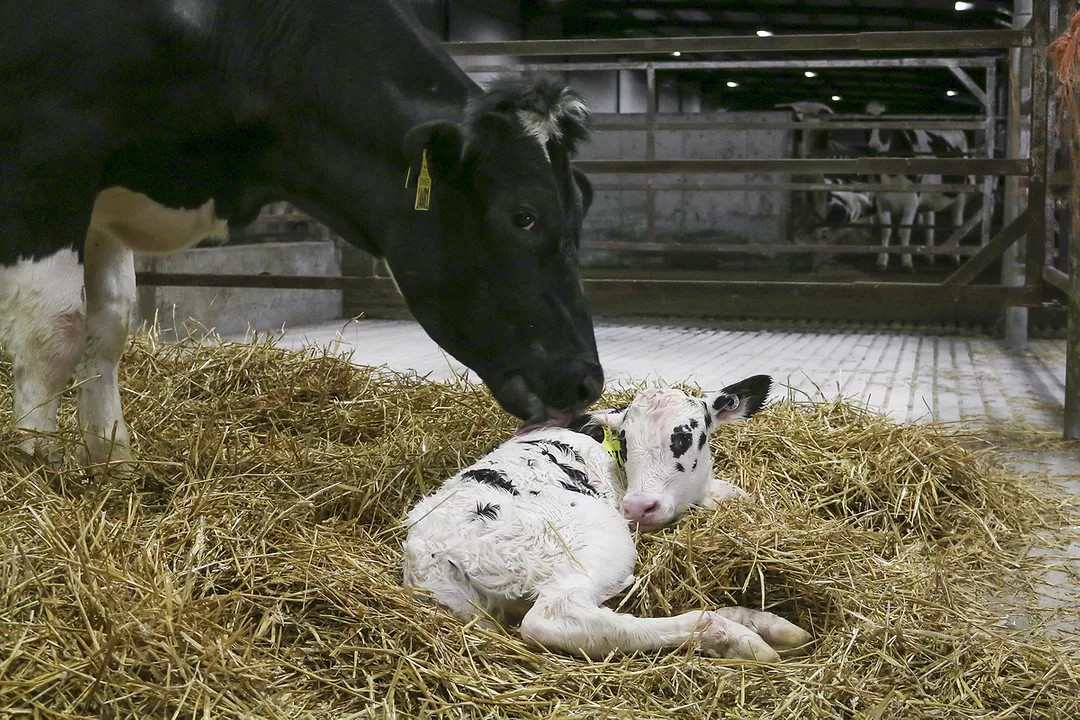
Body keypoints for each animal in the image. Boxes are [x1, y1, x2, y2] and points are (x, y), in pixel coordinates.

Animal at [0, 1, 602, 468]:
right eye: (524, 215)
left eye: (581, 206)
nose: (587, 381)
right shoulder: (47, 164)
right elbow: (55, 330)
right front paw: (42, 475)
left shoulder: (104, 199)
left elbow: (108, 327)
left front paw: (113, 468)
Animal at [403, 375, 813, 661]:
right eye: (626, 441)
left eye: (684, 437)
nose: (638, 506)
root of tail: (436, 551)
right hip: (596, 543)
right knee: (556, 617)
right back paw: (735, 637)